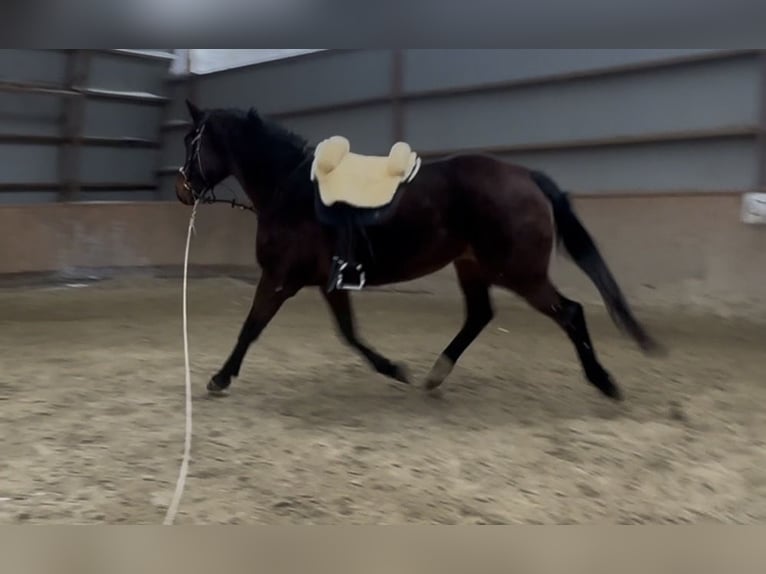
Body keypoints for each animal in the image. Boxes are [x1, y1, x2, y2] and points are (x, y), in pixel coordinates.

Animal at [175, 99, 663, 402]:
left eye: (191, 140)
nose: (182, 190)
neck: (291, 190)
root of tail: (525, 176)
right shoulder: (328, 283)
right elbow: (349, 333)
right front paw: (395, 369)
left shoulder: (280, 277)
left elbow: (251, 327)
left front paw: (219, 378)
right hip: (474, 267)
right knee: (479, 315)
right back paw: (434, 374)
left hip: (519, 272)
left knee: (570, 313)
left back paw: (604, 383)